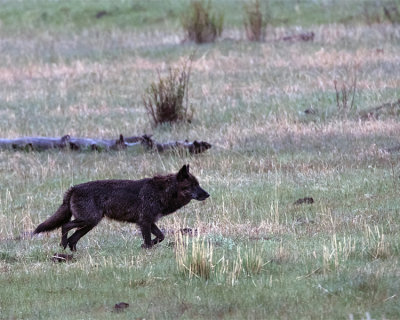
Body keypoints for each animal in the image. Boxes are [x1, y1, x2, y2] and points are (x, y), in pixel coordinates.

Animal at [33, 165, 209, 250]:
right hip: (89, 220)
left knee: (73, 238)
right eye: (193, 186)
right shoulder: (144, 222)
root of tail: (73, 188)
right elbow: (150, 240)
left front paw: (146, 245)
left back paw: (72, 252)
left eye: (198, 184)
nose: (208, 194)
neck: (162, 192)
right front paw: (147, 249)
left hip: (90, 224)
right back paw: (62, 247)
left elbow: (161, 236)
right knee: (65, 226)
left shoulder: (149, 222)